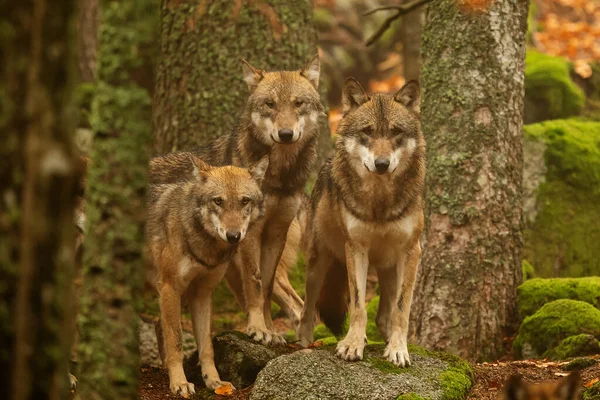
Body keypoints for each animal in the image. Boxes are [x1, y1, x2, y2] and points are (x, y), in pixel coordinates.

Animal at [145, 156, 268, 396]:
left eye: (245, 201)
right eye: (218, 201)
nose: (233, 236)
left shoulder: (202, 294)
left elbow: (206, 347)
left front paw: (215, 382)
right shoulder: (169, 287)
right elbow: (177, 342)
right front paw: (179, 383)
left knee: (158, 325)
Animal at [298, 76, 424, 368]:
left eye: (395, 132)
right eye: (367, 131)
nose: (382, 163)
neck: (380, 203)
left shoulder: (411, 251)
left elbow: (401, 309)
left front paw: (398, 350)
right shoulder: (355, 249)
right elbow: (357, 305)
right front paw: (352, 345)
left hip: (390, 270)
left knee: (384, 316)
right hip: (318, 264)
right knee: (306, 310)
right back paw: (304, 344)